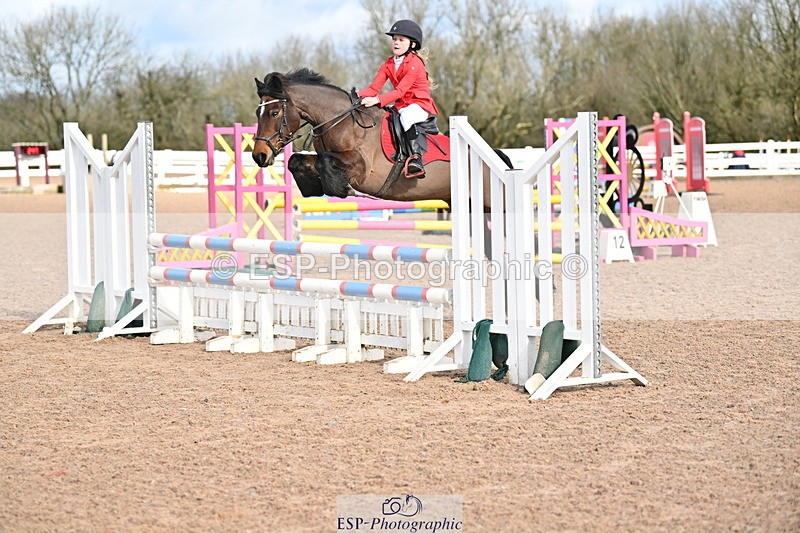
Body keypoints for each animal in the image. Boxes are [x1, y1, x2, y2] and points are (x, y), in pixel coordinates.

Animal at [251, 68, 510, 207]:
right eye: (257, 113)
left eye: (274, 113)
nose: (259, 156)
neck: (340, 120)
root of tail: (497, 160)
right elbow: (297, 159)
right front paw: (312, 188)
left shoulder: (361, 168)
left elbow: (325, 161)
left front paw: (340, 189)